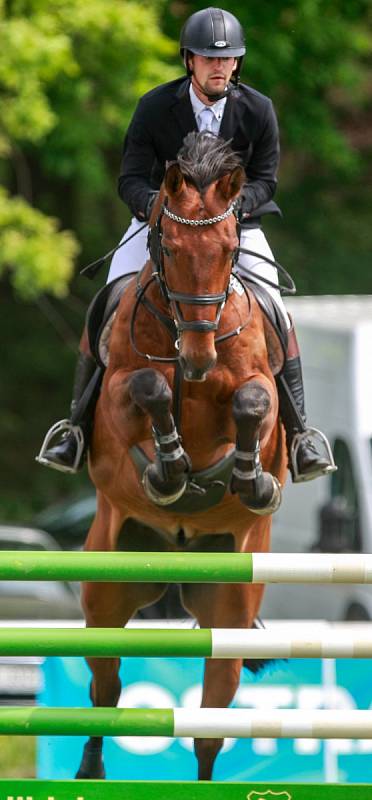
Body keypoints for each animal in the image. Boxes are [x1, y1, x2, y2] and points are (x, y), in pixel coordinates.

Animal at [77, 131, 288, 780]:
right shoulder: (120, 395)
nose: (197, 356)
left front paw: (250, 481)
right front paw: (170, 471)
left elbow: (252, 401)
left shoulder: (260, 389)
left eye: (228, 248)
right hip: (105, 590)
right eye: (168, 248)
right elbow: (149, 389)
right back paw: (88, 774)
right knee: (105, 689)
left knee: (210, 724)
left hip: (231, 608)